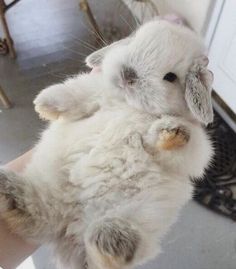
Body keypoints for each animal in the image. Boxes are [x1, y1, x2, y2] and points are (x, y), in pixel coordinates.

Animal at [0, 18, 214, 268]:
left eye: (170, 77)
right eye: (133, 41)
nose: (127, 73)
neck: (129, 105)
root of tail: (66, 226)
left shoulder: (195, 148)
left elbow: (183, 146)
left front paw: (172, 132)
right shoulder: (93, 91)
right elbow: (75, 93)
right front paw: (43, 103)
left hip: (136, 215)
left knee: (104, 255)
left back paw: (112, 241)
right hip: (48, 187)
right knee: (36, 210)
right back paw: (8, 190)